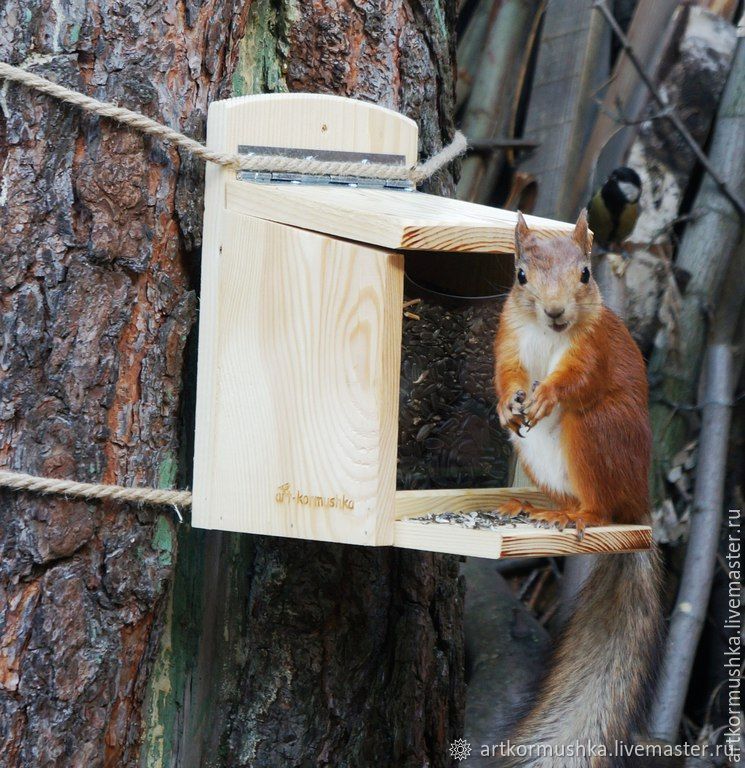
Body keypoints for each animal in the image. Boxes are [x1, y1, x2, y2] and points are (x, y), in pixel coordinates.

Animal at [492, 212, 660, 768]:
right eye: (521, 275)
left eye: (586, 274)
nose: (556, 311)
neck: (549, 336)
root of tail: (639, 505)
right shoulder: (508, 337)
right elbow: (505, 374)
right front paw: (508, 402)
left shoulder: (595, 350)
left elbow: (579, 378)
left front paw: (547, 394)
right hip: (532, 457)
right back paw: (533, 507)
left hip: (597, 432)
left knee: (603, 508)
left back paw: (581, 517)